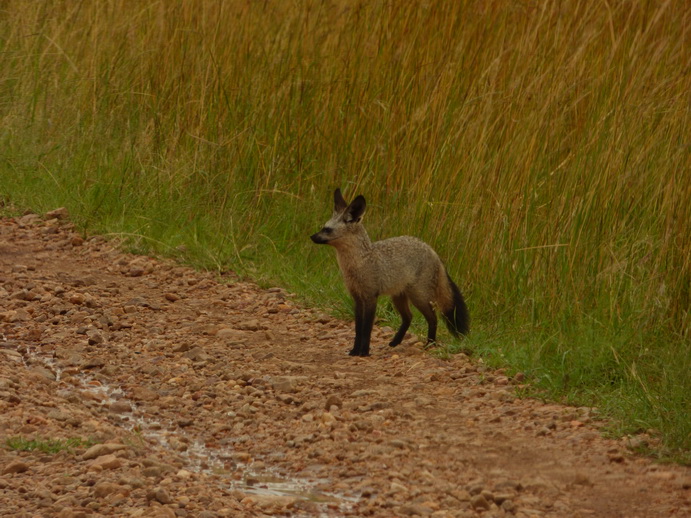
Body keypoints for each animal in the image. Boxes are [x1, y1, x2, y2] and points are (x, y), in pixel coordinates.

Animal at [310, 188, 469, 357]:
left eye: (327, 230)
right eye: (323, 227)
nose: (311, 237)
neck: (359, 263)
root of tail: (432, 250)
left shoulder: (370, 297)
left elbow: (366, 328)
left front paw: (364, 351)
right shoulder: (357, 298)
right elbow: (358, 329)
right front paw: (355, 350)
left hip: (419, 297)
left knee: (433, 318)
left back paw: (429, 344)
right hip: (399, 297)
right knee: (409, 317)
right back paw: (395, 342)